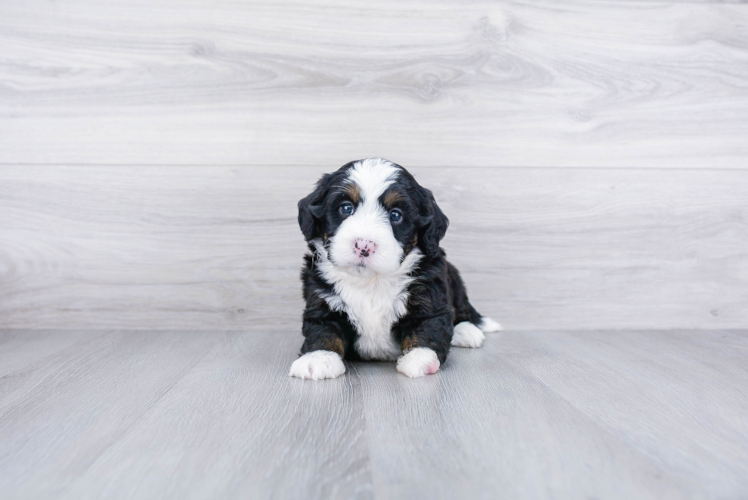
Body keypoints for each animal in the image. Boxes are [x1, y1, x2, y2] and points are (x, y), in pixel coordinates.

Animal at [290, 158, 500, 380]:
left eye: (395, 215)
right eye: (346, 208)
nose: (364, 245)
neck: (370, 282)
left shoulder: (428, 294)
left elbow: (428, 324)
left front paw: (420, 357)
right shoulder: (321, 297)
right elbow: (323, 329)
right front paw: (318, 358)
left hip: (454, 279)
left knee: (461, 310)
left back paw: (466, 331)